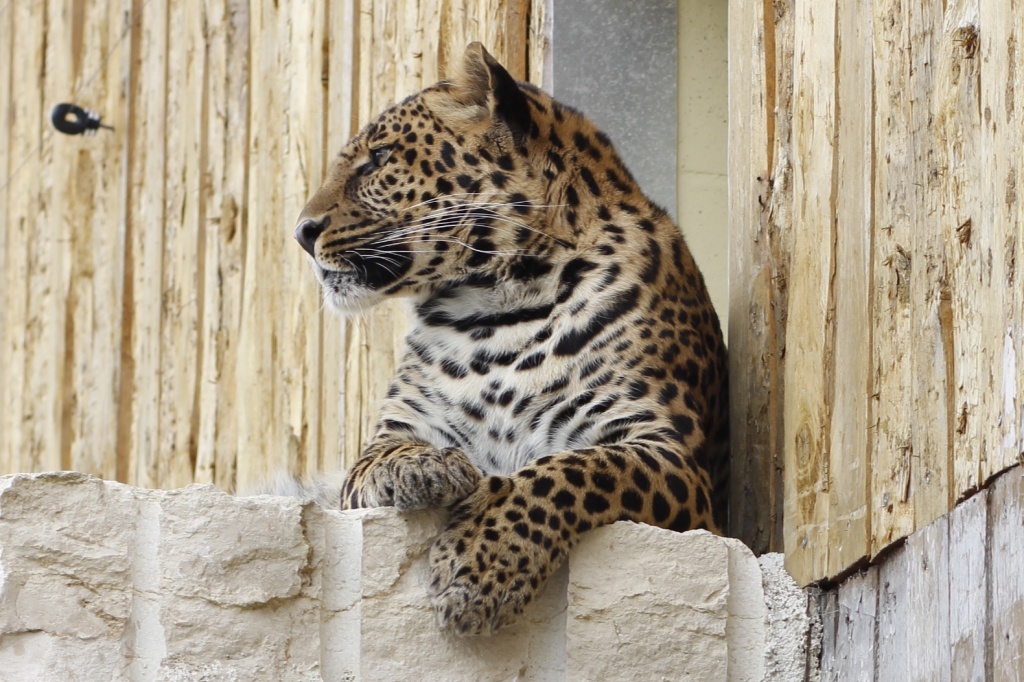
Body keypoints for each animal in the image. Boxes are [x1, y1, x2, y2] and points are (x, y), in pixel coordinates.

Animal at [292, 42, 733, 634]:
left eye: (379, 158)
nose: (302, 232)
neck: (493, 313)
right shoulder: (392, 432)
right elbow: (379, 457)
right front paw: (427, 468)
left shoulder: (668, 453)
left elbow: (573, 468)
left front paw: (482, 562)